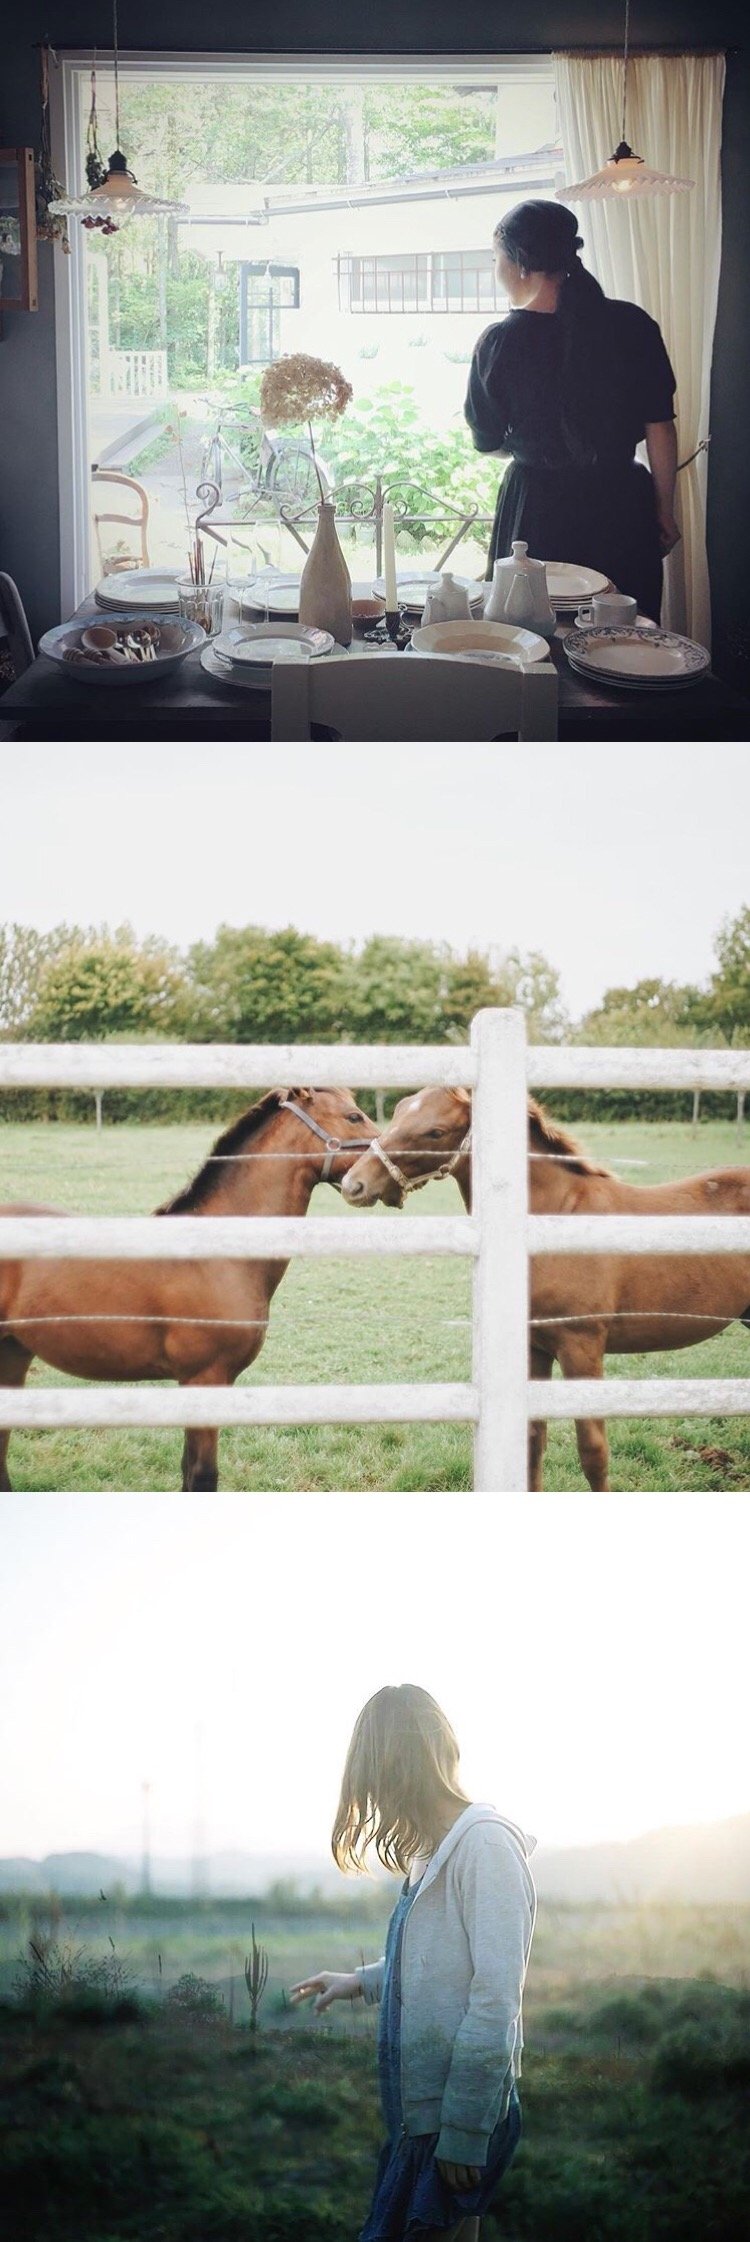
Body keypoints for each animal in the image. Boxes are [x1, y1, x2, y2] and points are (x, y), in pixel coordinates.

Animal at [344, 1085, 750, 1488]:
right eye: (398, 1110)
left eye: (435, 1132)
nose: (354, 1184)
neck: (552, 1221)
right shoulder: (535, 1348)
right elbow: (533, 1443)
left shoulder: (581, 1346)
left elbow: (593, 1453)